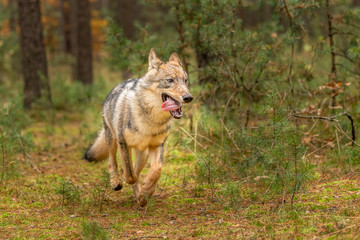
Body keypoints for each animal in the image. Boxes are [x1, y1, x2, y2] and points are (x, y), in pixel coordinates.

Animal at [84, 48, 193, 206]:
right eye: (170, 81)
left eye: (185, 81)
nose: (188, 97)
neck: (151, 119)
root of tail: (118, 85)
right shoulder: (123, 143)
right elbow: (130, 175)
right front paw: (131, 182)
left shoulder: (157, 145)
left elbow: (156, 170)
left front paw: (146, 191)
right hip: (112, 141)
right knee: (112, 163)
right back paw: (116, 182)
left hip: (143, 154)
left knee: (138, 170)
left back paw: (140, 196)